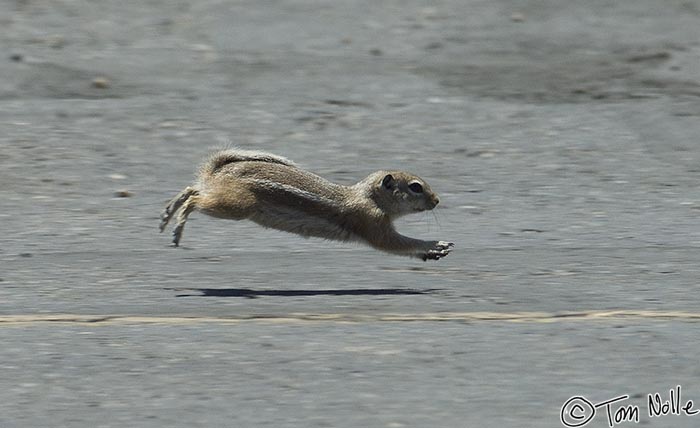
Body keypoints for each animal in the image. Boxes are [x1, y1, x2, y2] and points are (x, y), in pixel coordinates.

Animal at [159, 149, 454, 260]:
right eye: (416, 187)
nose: (437, 200)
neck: (368, 195)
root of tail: (217, 171)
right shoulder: (371, 222)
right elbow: (395, 243)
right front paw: (436, 244)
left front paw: (432, 254)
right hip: (236, 206)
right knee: (195, 198)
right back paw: (176, 225)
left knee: (192, 189)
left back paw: (168, 213)